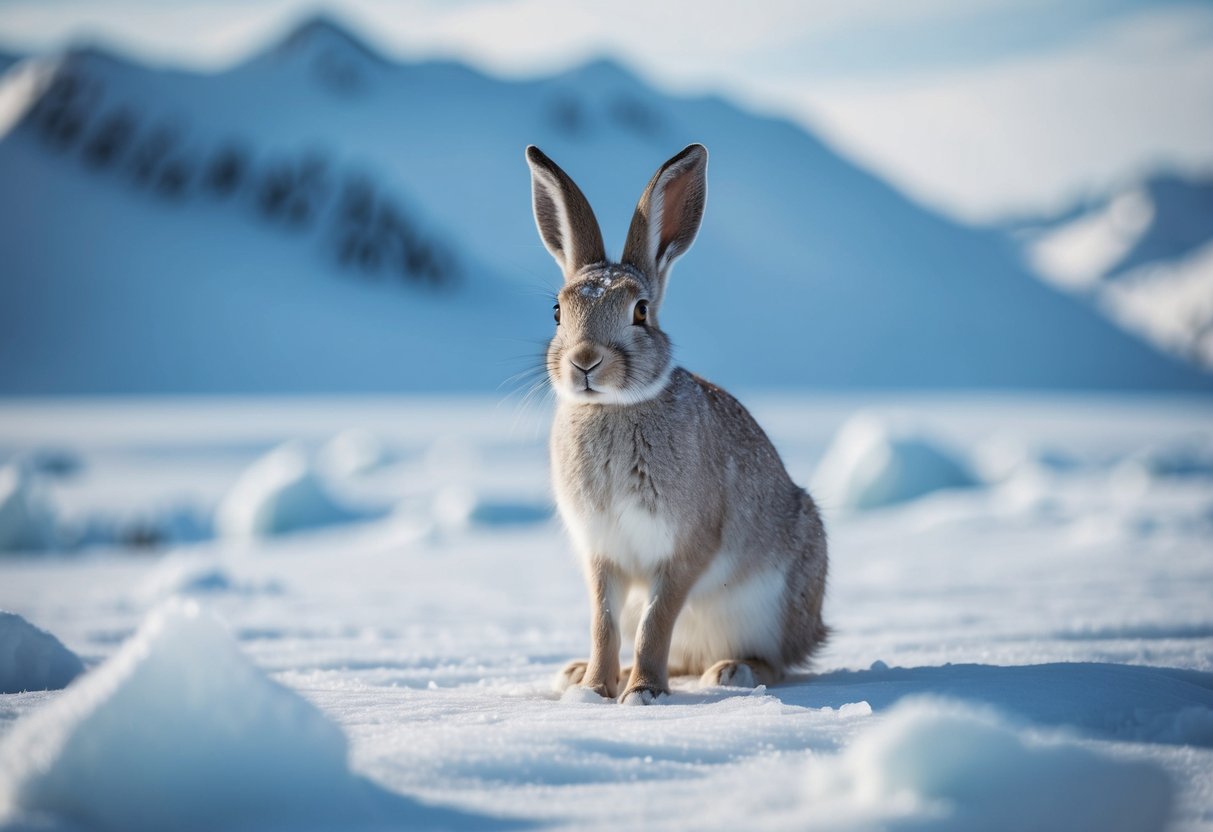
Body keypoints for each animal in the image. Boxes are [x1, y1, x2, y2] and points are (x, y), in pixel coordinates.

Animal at [526, 143, 828, 705]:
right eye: (557, 311)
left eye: (641, 311)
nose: (584, 361)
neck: (614, 408)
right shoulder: (602, 554)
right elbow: (604, 624)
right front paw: (595, 690)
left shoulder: (685, 548)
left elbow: (656, 620)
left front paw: (643, 694)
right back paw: (578, 673)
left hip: (774, 603)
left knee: (776, 662)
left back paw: (732, 671)